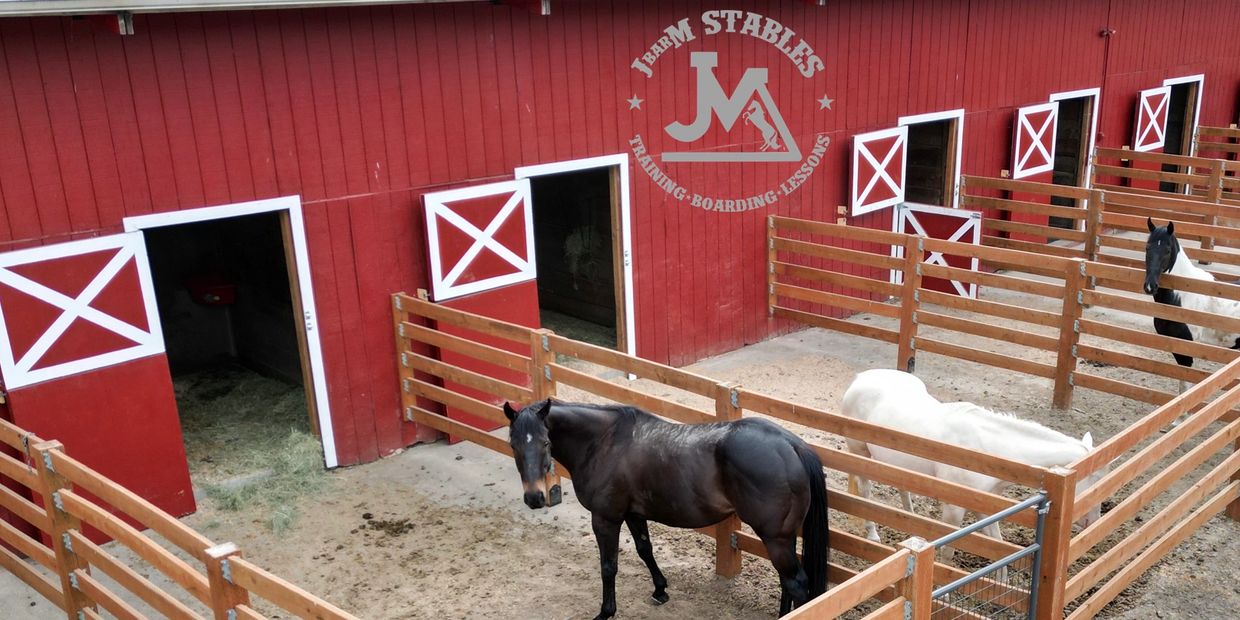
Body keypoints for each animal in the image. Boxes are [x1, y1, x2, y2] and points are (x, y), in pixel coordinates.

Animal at [503, 399, 829, 619]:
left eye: (546, 443)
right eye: (513, 445)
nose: (535, 497)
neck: (605, 443)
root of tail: (792, 445)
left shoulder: (605, 518)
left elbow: (608, 566)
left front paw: (606, 611)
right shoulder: (633, 514)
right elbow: (644, 549)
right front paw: (660, 589)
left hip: (775, 538)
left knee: (796, 584)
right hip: (784, 538)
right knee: (787, 582)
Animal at [840, 369, 1108, 565]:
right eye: (1093, 477)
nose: (1092, 521)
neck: (988, 450)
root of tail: (860, 379)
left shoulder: (986, 508)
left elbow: (998, 546)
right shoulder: (954, 508)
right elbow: (947, 552)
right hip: (860, 452)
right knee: (865, 492)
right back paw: (872, 533)